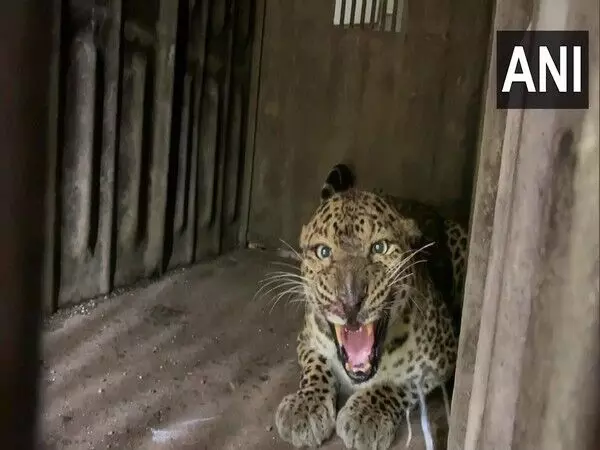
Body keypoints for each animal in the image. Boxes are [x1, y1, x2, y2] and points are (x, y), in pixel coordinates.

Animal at [274, 163, 468, 450]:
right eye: (323, 252)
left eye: (380, 247)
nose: (350, 302)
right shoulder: (307, 339)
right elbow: (316, 367)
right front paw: (305, 406)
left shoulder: (444, 356)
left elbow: (402, 382)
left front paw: (366, 415)